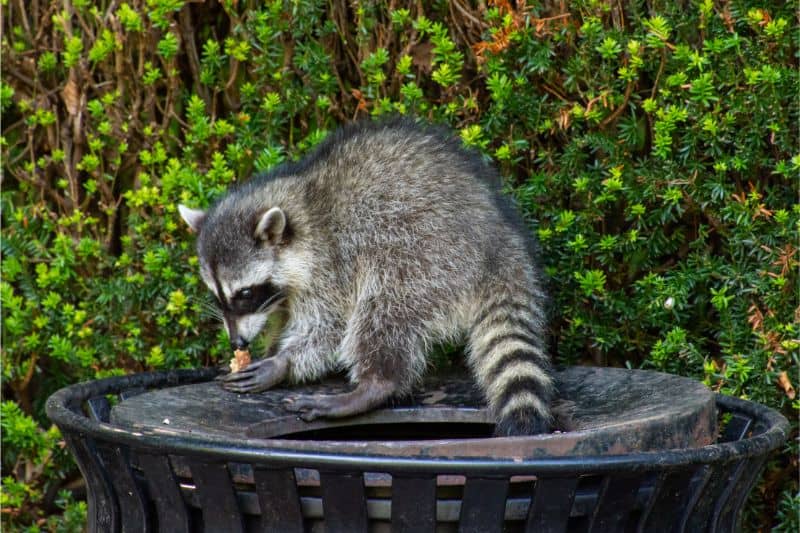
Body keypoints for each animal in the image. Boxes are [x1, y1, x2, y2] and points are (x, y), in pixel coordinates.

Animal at [178, 118, 552, 434]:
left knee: (384, 309)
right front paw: (270, 349)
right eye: (218, 296)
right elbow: (284, 320)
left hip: (426, 254)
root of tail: (499, 242)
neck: (300, 204)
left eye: (244, 293)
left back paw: (375, 384)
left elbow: (329, 328)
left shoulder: (331, 264)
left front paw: (282, 362)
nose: (237, 343)